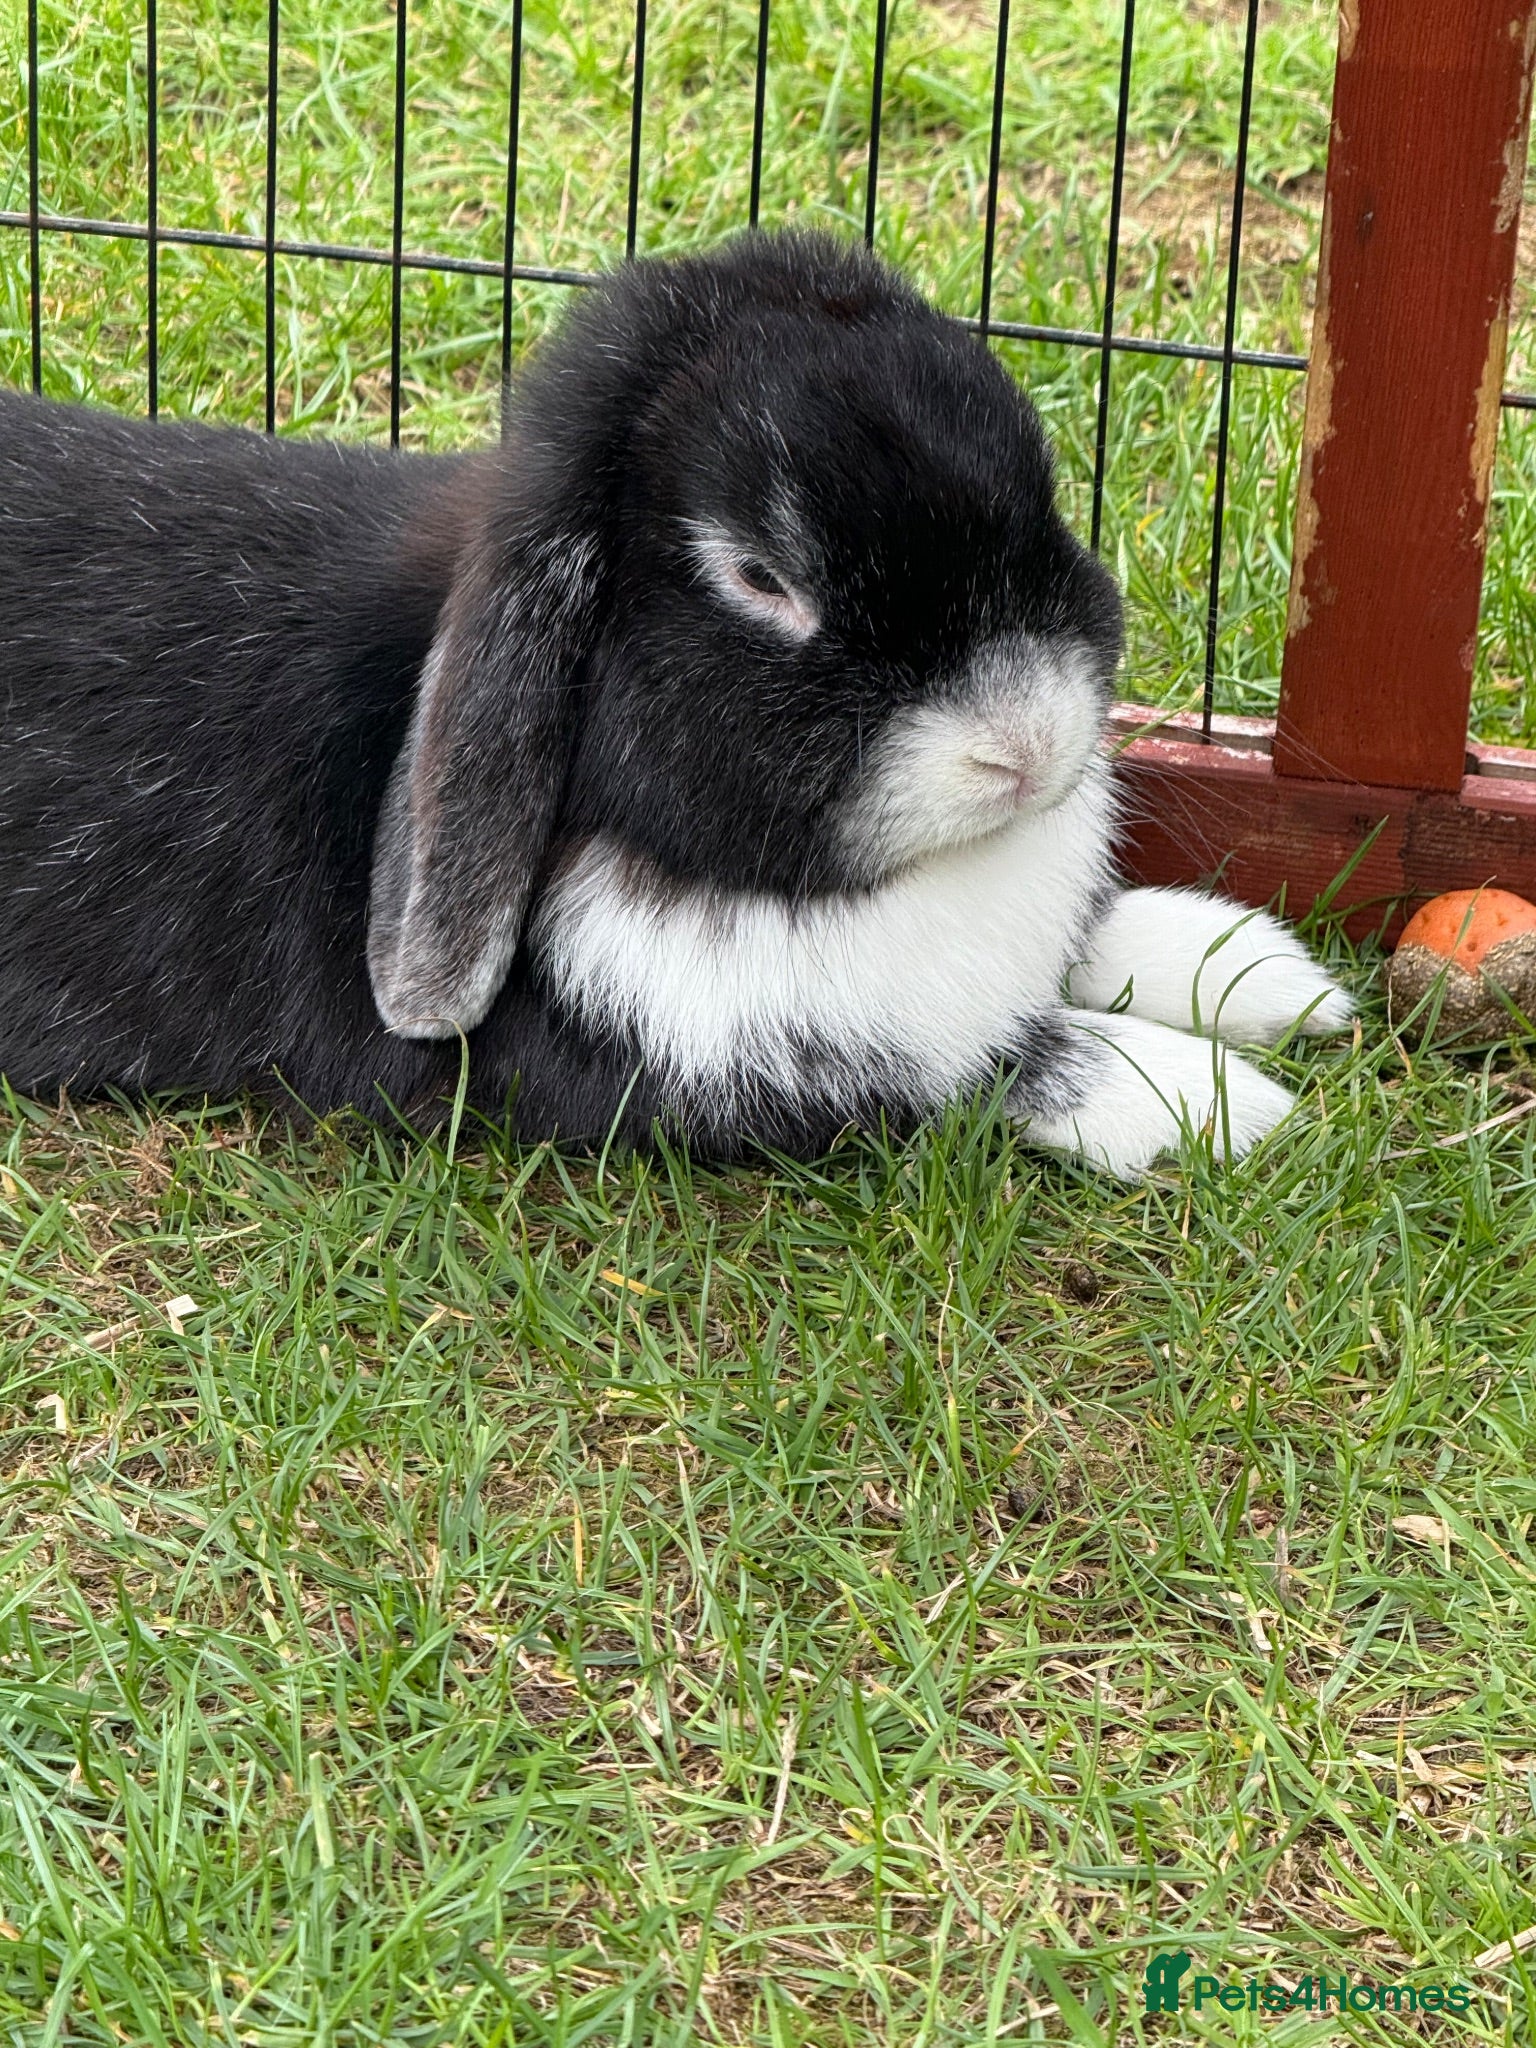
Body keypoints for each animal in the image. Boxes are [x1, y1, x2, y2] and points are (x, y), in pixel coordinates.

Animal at [0, 228, 1350, 1176]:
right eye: (759, 578)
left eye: (1043, 483)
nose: (1025, 741)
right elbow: (981, 1063)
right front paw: (1215, 1099)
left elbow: (1089, 943)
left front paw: (1265, 974)